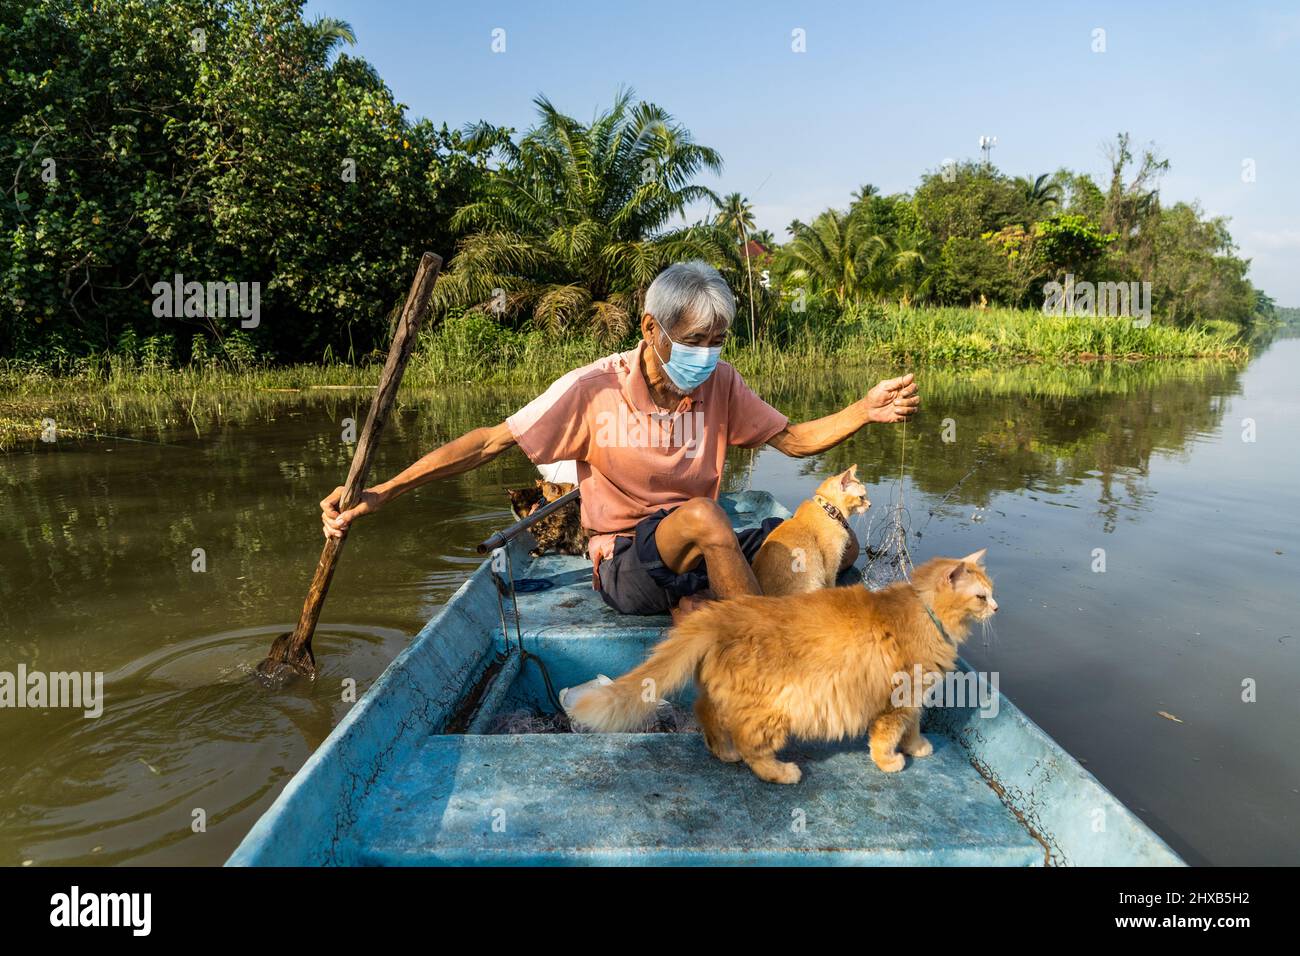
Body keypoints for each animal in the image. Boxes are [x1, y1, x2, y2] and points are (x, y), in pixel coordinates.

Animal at [569, 554, 993, 785]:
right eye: (981, 596)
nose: (997, 608)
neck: (923, 612)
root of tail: (719, 613)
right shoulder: (899, 700)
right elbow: (887, 736)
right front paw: (891, 761)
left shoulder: (916, 697)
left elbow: (914, 727)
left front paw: (917, 747)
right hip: (774, 709)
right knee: (750, 746)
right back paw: (780, 772)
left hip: (727, 694)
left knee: (706, 713)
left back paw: (722, 752)